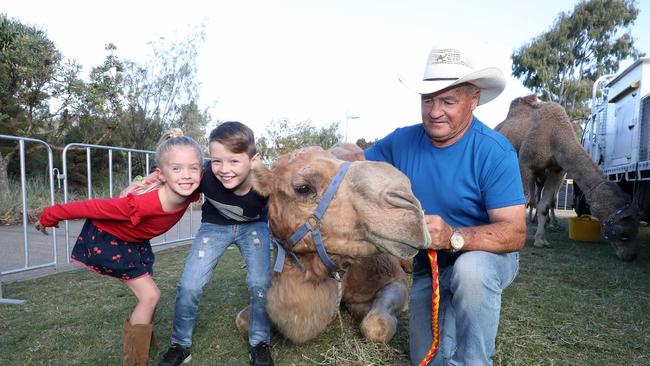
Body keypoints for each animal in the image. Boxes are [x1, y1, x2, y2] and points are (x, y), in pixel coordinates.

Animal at [496, 94, 636, 260]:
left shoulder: (557, 170)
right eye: (624, 233)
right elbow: (522, 201)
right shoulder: (525, 163)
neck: (555, 135)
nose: (631, 255)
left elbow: (544, 205)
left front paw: (541, 240)